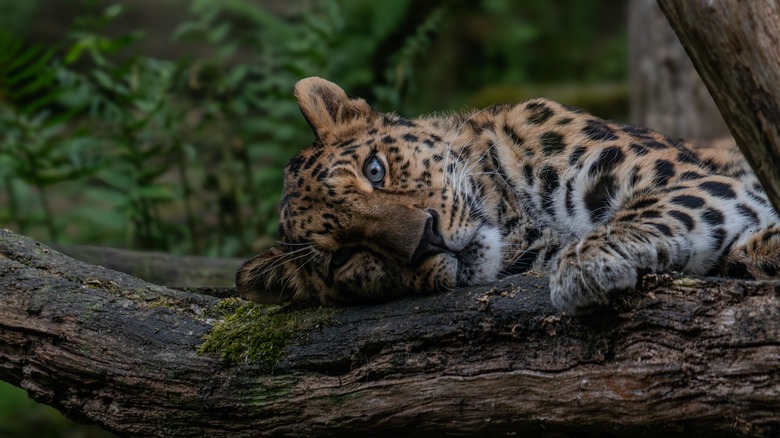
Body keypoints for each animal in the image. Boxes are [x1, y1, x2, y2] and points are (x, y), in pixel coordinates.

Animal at [235, 77, 780, 314]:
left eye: (375, 170)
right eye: (344, 257)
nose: (425, 239)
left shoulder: (686, 177)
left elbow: (656, 208)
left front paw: (586, 265)